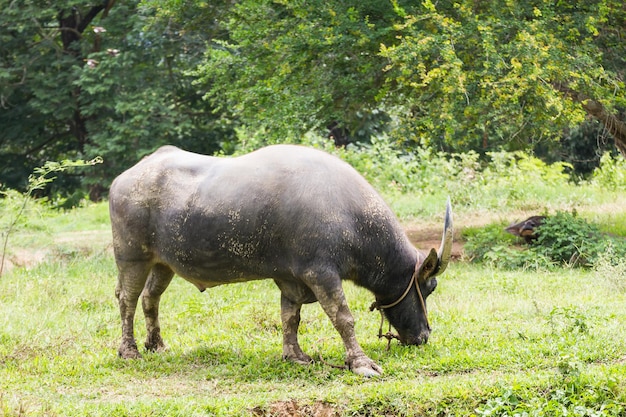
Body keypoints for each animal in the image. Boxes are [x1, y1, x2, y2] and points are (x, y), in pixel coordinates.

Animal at [109, 145, 450, 376]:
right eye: (430, 287)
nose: (423, 336)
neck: (349, 215)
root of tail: (123, 179)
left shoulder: (291, 278)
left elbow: (290, 317)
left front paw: (295, 355)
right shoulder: (321, 273)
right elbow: (343, 317)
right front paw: (361, 363)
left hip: (162, 263)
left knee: (150, 298)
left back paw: (157, 345)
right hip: (132, 257)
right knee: (127, 299)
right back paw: (130, 351)